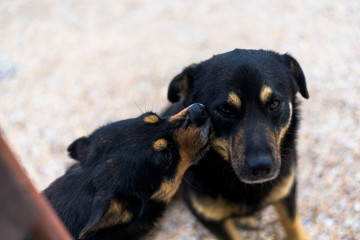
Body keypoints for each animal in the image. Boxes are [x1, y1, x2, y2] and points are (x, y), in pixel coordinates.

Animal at [163, 49, 310, 240]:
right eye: (226, 110)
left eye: (274, 103)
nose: (261, 167)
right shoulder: (210, 219)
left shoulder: (286, 192)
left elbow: (292, 225)